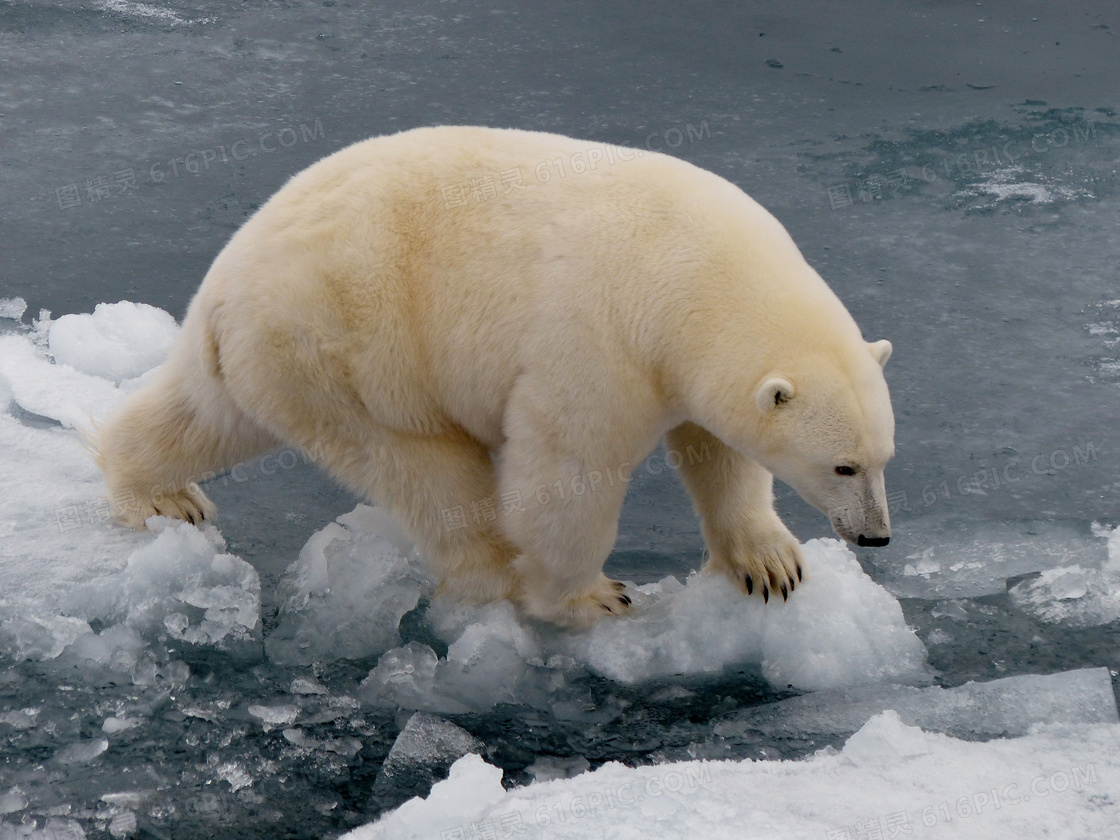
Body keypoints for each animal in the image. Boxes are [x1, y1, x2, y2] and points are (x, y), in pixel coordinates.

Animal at [100, 126, 896, 631]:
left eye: (883, 458)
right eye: (843, 465)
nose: (877, 536)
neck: (697, 272)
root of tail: (227, 281)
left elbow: (717, 449)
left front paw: (771, 565)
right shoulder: (598, 339)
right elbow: (567, 471)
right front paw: (586, 598)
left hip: (267, 355)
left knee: (207, 415)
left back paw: (160, 493)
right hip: (349, 352)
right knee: (426, 470)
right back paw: (495, 576)